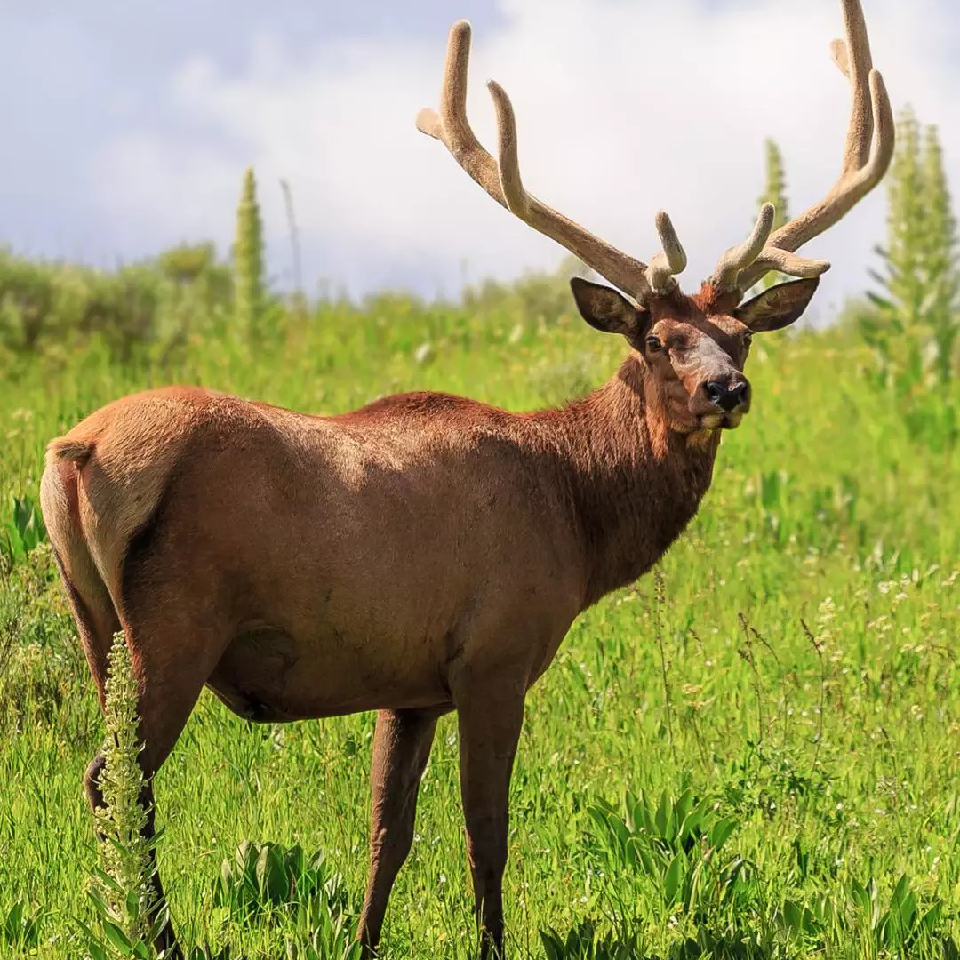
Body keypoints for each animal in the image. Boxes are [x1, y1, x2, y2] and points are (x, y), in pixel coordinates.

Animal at [37, 3, 892, 956]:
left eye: (739, 338)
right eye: (655, 340)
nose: (727, 390)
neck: (577, 514)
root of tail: (72, 453)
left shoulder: (408, 684)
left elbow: (388, 831)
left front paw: (365, 942)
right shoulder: (496, 650)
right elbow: (487, 829)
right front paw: (491, 942)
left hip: (96, 621)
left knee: (117, 778)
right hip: (176, 620)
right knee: (115, 780)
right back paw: (156, 936)